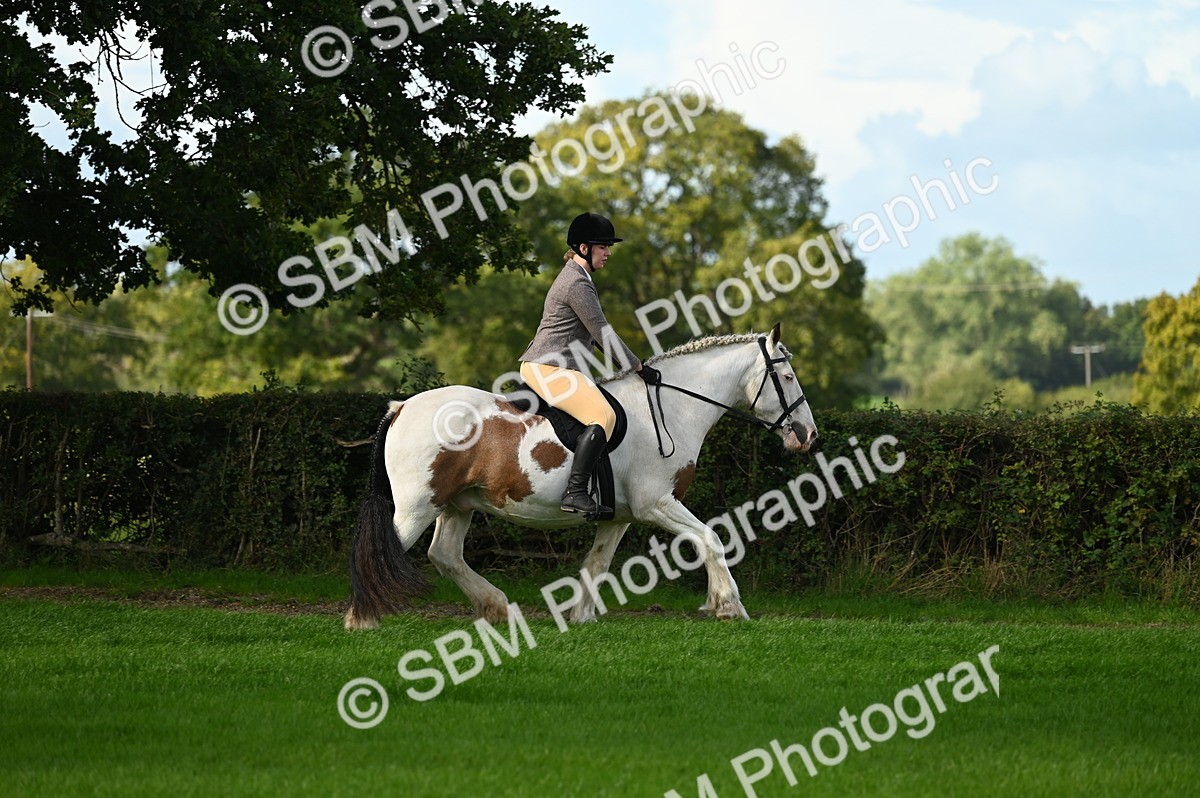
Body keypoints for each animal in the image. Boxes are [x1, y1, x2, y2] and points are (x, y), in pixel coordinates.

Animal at [344, 322, 818, 630]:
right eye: (787, 377)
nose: (808, 435)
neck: (673, 408)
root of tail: (403, 405)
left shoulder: (620, 515)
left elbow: (597, 563)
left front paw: (581, 617)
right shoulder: (657, 503)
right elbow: (711, 539)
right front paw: (728, 606)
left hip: (457, 504)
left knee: (444, 555)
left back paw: (498, 609)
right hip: (416, 506)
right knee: (380, 550)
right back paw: (360, 619)